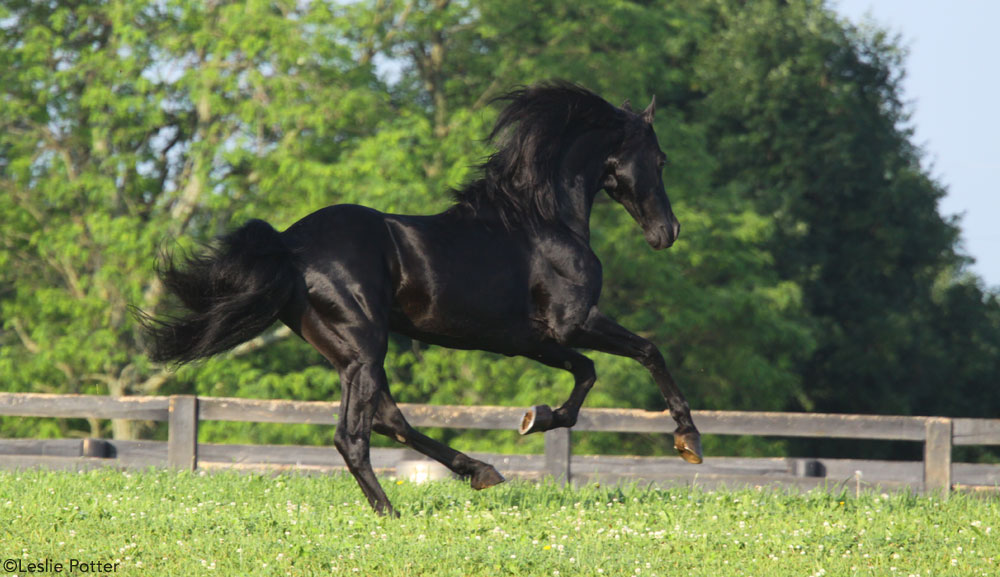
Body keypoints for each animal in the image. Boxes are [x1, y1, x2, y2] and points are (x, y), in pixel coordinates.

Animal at [139, 80, 704, 512]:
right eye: (659, 159)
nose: (669, 231)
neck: (543, 220)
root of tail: (289, 246)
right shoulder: (570, 324)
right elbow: (640, 354)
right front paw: (687, 440)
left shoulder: (530, 341)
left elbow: (593, 370)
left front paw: (535, 418)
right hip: (365, 349)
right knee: (354, 436)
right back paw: (390, 511)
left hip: (349, 353)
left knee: (389, 419)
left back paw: (480, 472)